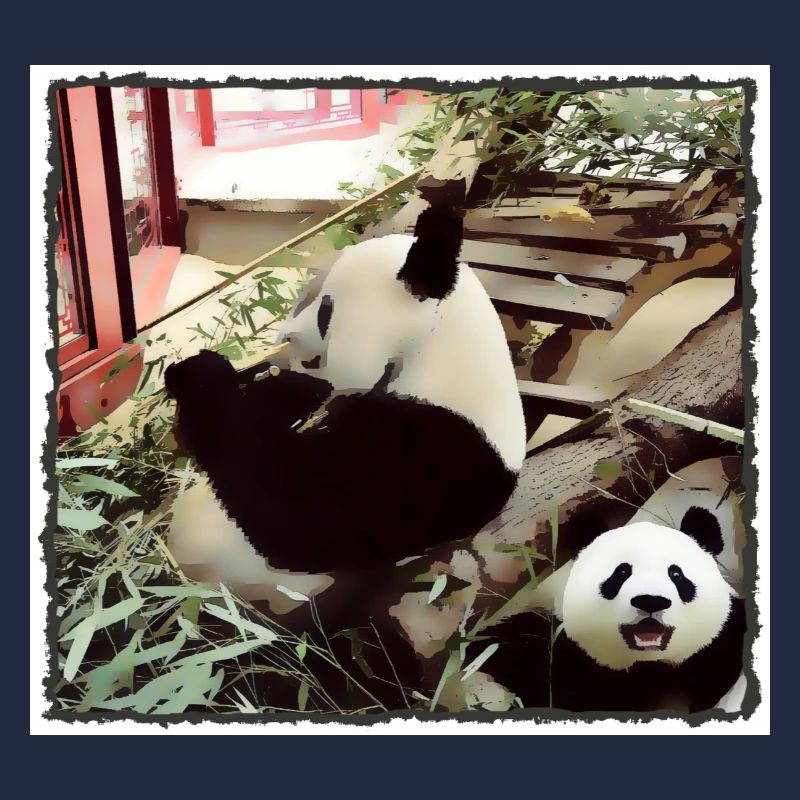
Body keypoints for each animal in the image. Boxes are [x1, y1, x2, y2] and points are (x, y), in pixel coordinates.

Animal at [163, 204, 526, 664]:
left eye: (325, 313)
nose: (285, 337)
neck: (438, 350)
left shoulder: (433, 452)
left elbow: (294, 518)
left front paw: (199, 375)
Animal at [478, 507, 747, 714]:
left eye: (676, 574)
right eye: (622, 572)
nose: (650, 601)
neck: (648, 666)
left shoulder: (720, 642)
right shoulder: (562, 654)